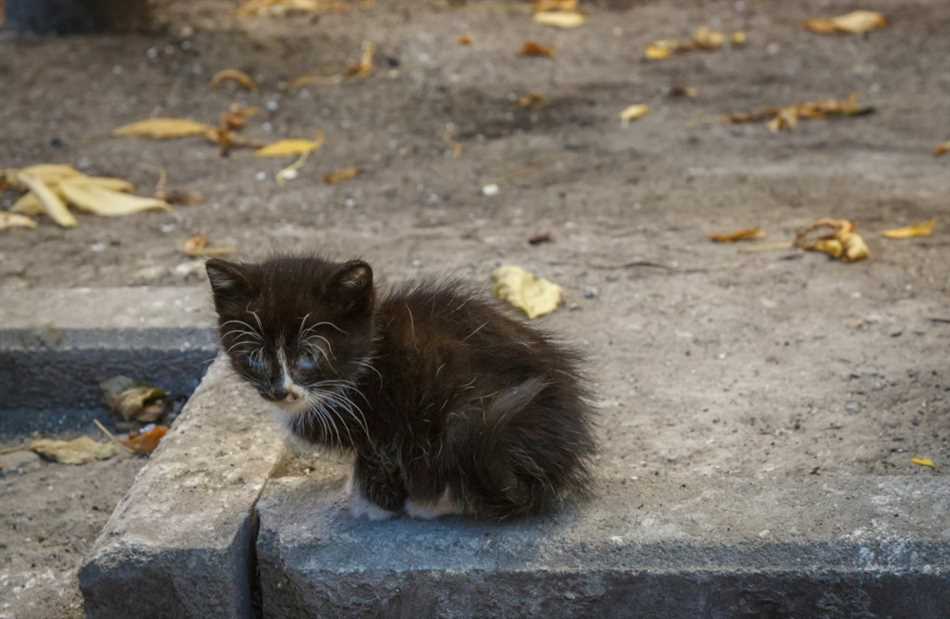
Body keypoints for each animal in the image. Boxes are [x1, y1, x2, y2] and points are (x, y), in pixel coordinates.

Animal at [208, 256, 596, 524]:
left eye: (308, 356)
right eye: (255, 356)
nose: (280, 391)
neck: (368, 361)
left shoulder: (386, 419)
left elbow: (376, 458)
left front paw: (370, 505)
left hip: (467, 416)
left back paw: (431, 502)